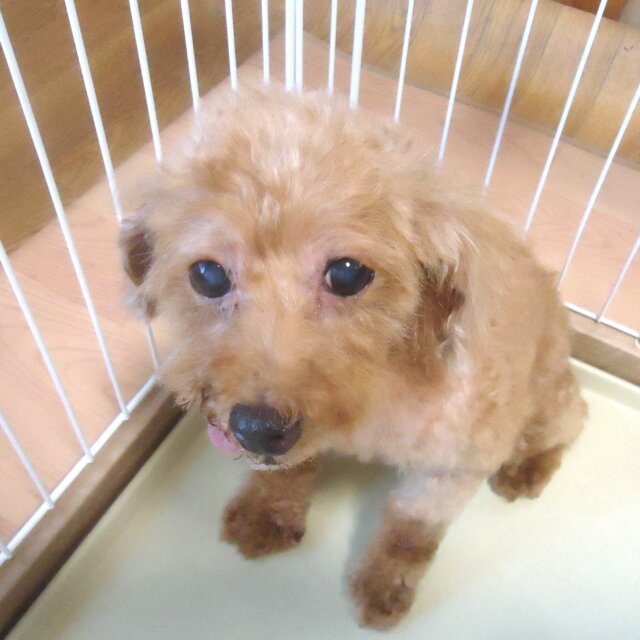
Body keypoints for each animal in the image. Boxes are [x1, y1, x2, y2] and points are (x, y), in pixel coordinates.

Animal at [120, 85, 586, 629]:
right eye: (207, 275)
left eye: (347, 273)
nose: (256, 427)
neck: (374, 387)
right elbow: (289, 470)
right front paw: (265, 515)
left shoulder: (455, 461)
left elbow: (410, 529)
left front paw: (384, 585)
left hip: (547, 400)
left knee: (571, 421)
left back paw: (527, 468)